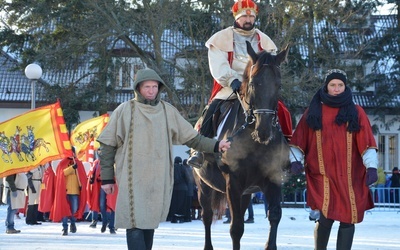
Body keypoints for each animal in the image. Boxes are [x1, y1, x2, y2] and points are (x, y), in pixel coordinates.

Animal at [193, 41, 290, 250]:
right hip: (203, 185)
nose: (264, 129)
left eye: (278, 85)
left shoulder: (273, 179)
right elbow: (236, 228)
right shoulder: (233, 183)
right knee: (206, 216)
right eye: (253, 83)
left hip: (246, 193)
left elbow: (274, 216)